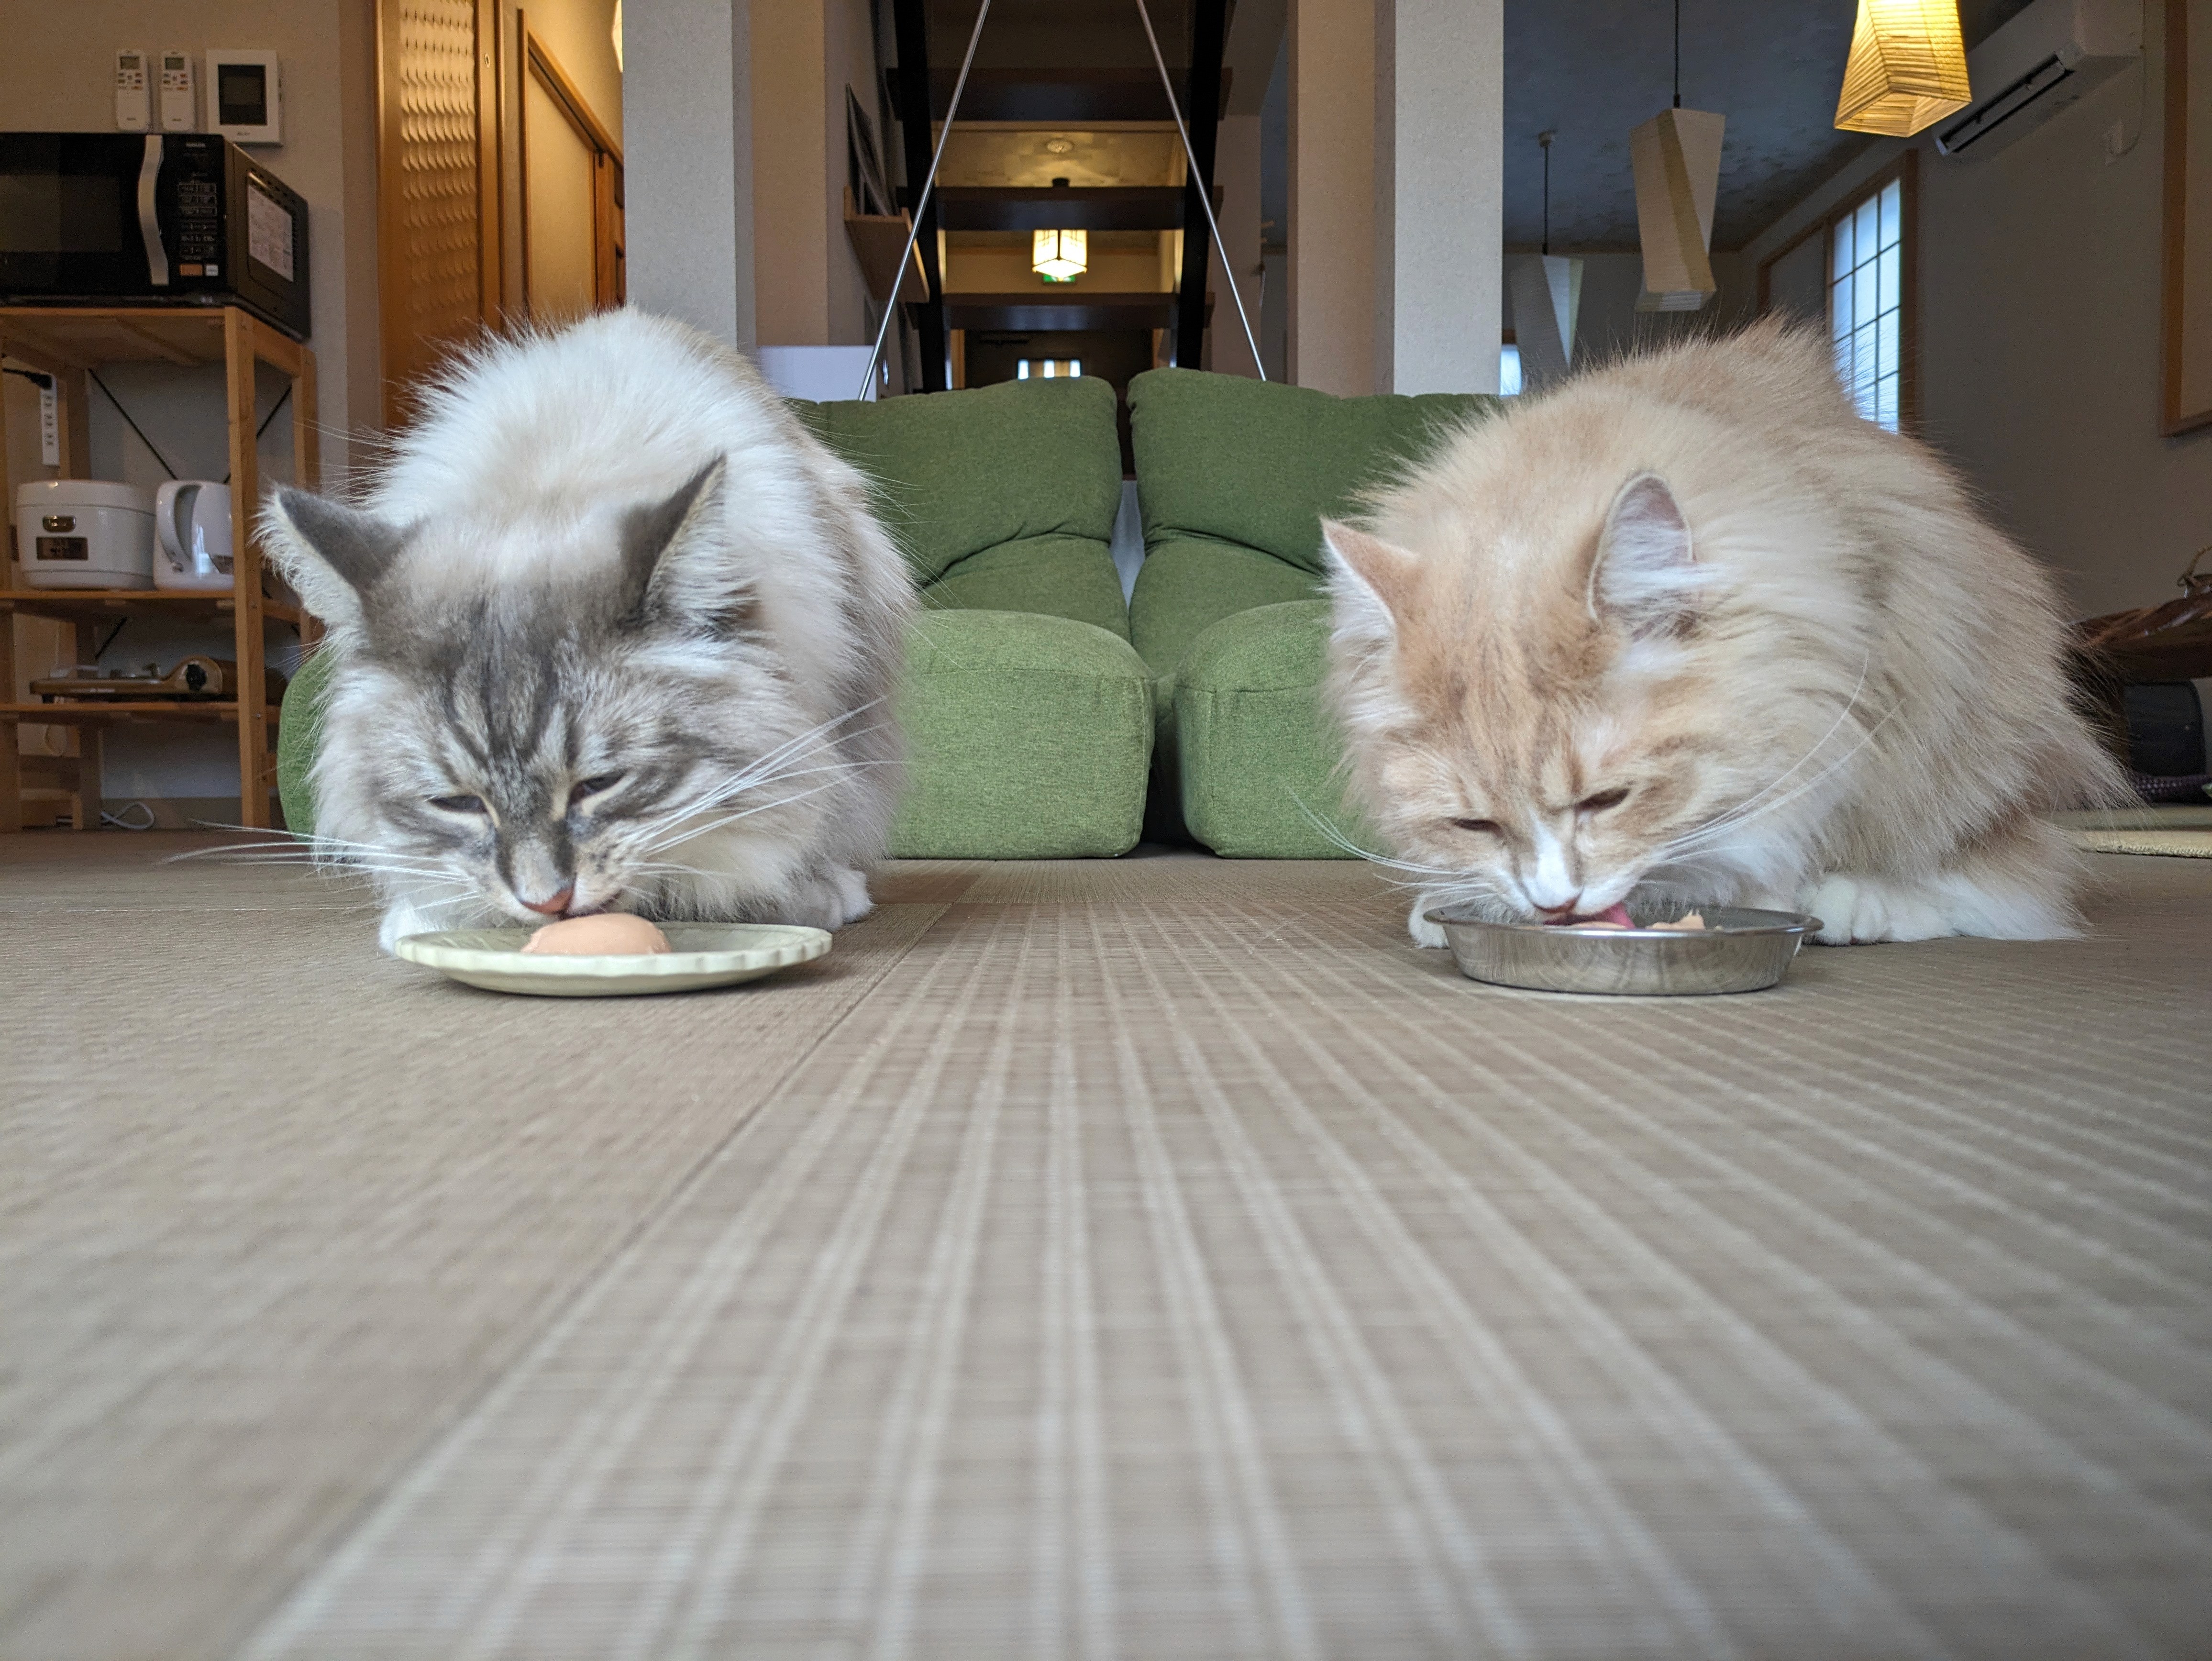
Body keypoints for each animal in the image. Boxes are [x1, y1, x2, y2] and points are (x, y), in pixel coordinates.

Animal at [263, 309, 913, 951]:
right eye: (458, 803)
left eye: (598, 785)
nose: (544, 902)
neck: (550, 487)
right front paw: (424, 920)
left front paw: (806, 896)